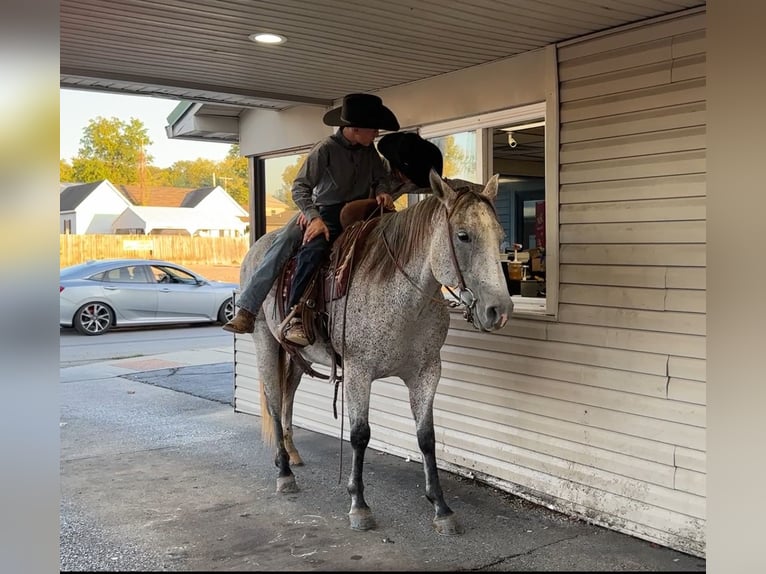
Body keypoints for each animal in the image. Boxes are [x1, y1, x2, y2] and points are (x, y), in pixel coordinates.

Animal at [239, 169, 513, 535]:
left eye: (500, 236)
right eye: (463, 236)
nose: (500, 310)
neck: (405, 296)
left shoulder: (427, 372)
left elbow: (426, 437)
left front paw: (441, 508)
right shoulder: (358, 372)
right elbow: (360, 435)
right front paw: (359, 505)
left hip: (297, 355)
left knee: (287, 397)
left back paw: (293, 454)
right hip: (264, 342)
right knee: (272, 401)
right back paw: (284, 473)